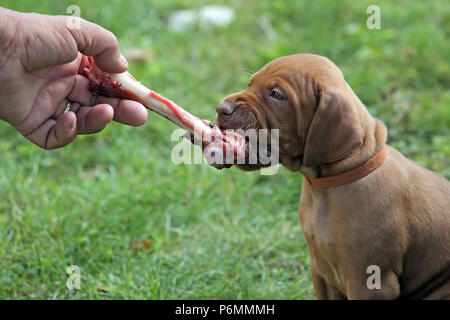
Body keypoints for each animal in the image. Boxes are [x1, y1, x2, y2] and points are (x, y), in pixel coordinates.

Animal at [215, 53, 450, 298]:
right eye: (250, 84)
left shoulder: (371, 281)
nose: (221, 108)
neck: (325, 186)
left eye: (276, 95)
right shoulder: (320, 272)